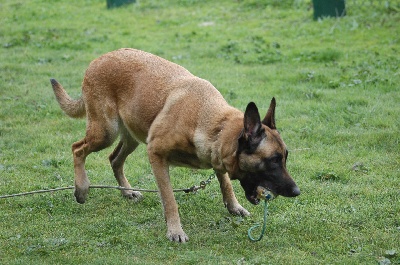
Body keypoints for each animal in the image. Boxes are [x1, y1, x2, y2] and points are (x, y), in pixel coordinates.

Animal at [50, 47, 300, 241]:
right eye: (273, 160)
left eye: (285, 157)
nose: (297, 191)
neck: (212, 124)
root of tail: (98, 59)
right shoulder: (156, 154)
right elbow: (169, 199)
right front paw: (175, 231)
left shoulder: (216, 155)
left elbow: (225, 182)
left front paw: (234, 206)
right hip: (106, 132)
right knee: (77, 149)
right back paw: (82, 188)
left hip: (132, 136)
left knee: (114, 159)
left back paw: (127, 191)